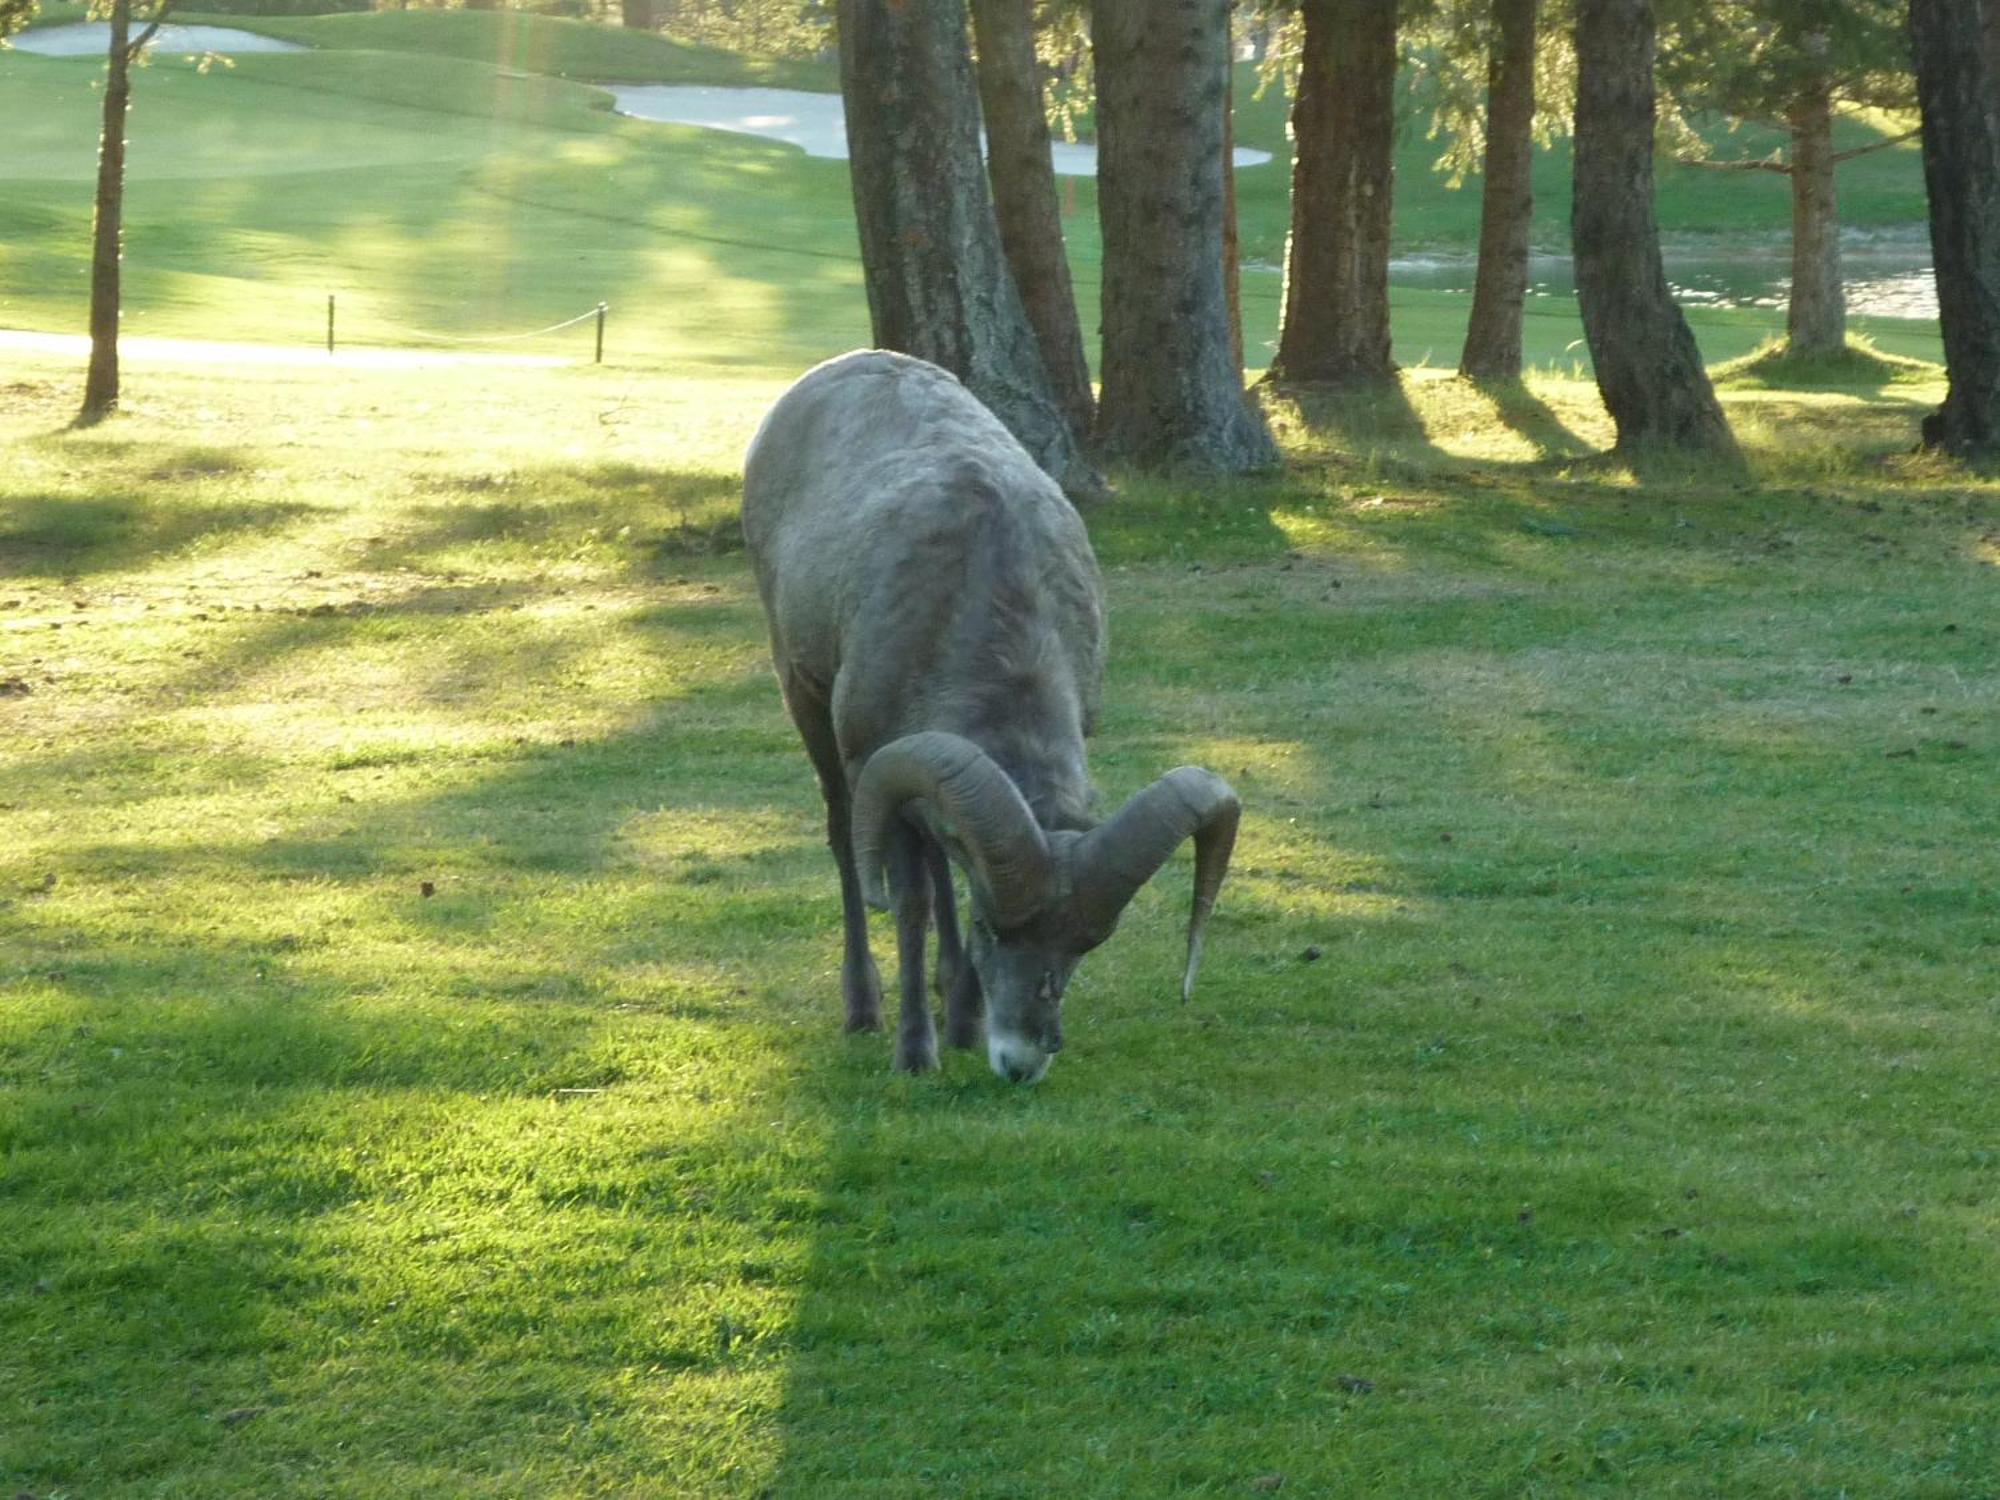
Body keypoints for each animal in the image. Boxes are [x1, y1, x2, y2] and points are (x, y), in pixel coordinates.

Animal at [740, 352, 1232, 1080]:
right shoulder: (872, 765)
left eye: (1086, 945)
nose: (1022, 1060)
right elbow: (910, 902)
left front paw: (964, 1026)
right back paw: (864, 1010)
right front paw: (916, 1054)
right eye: (993, 929)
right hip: (805, 703)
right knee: (845, 843)